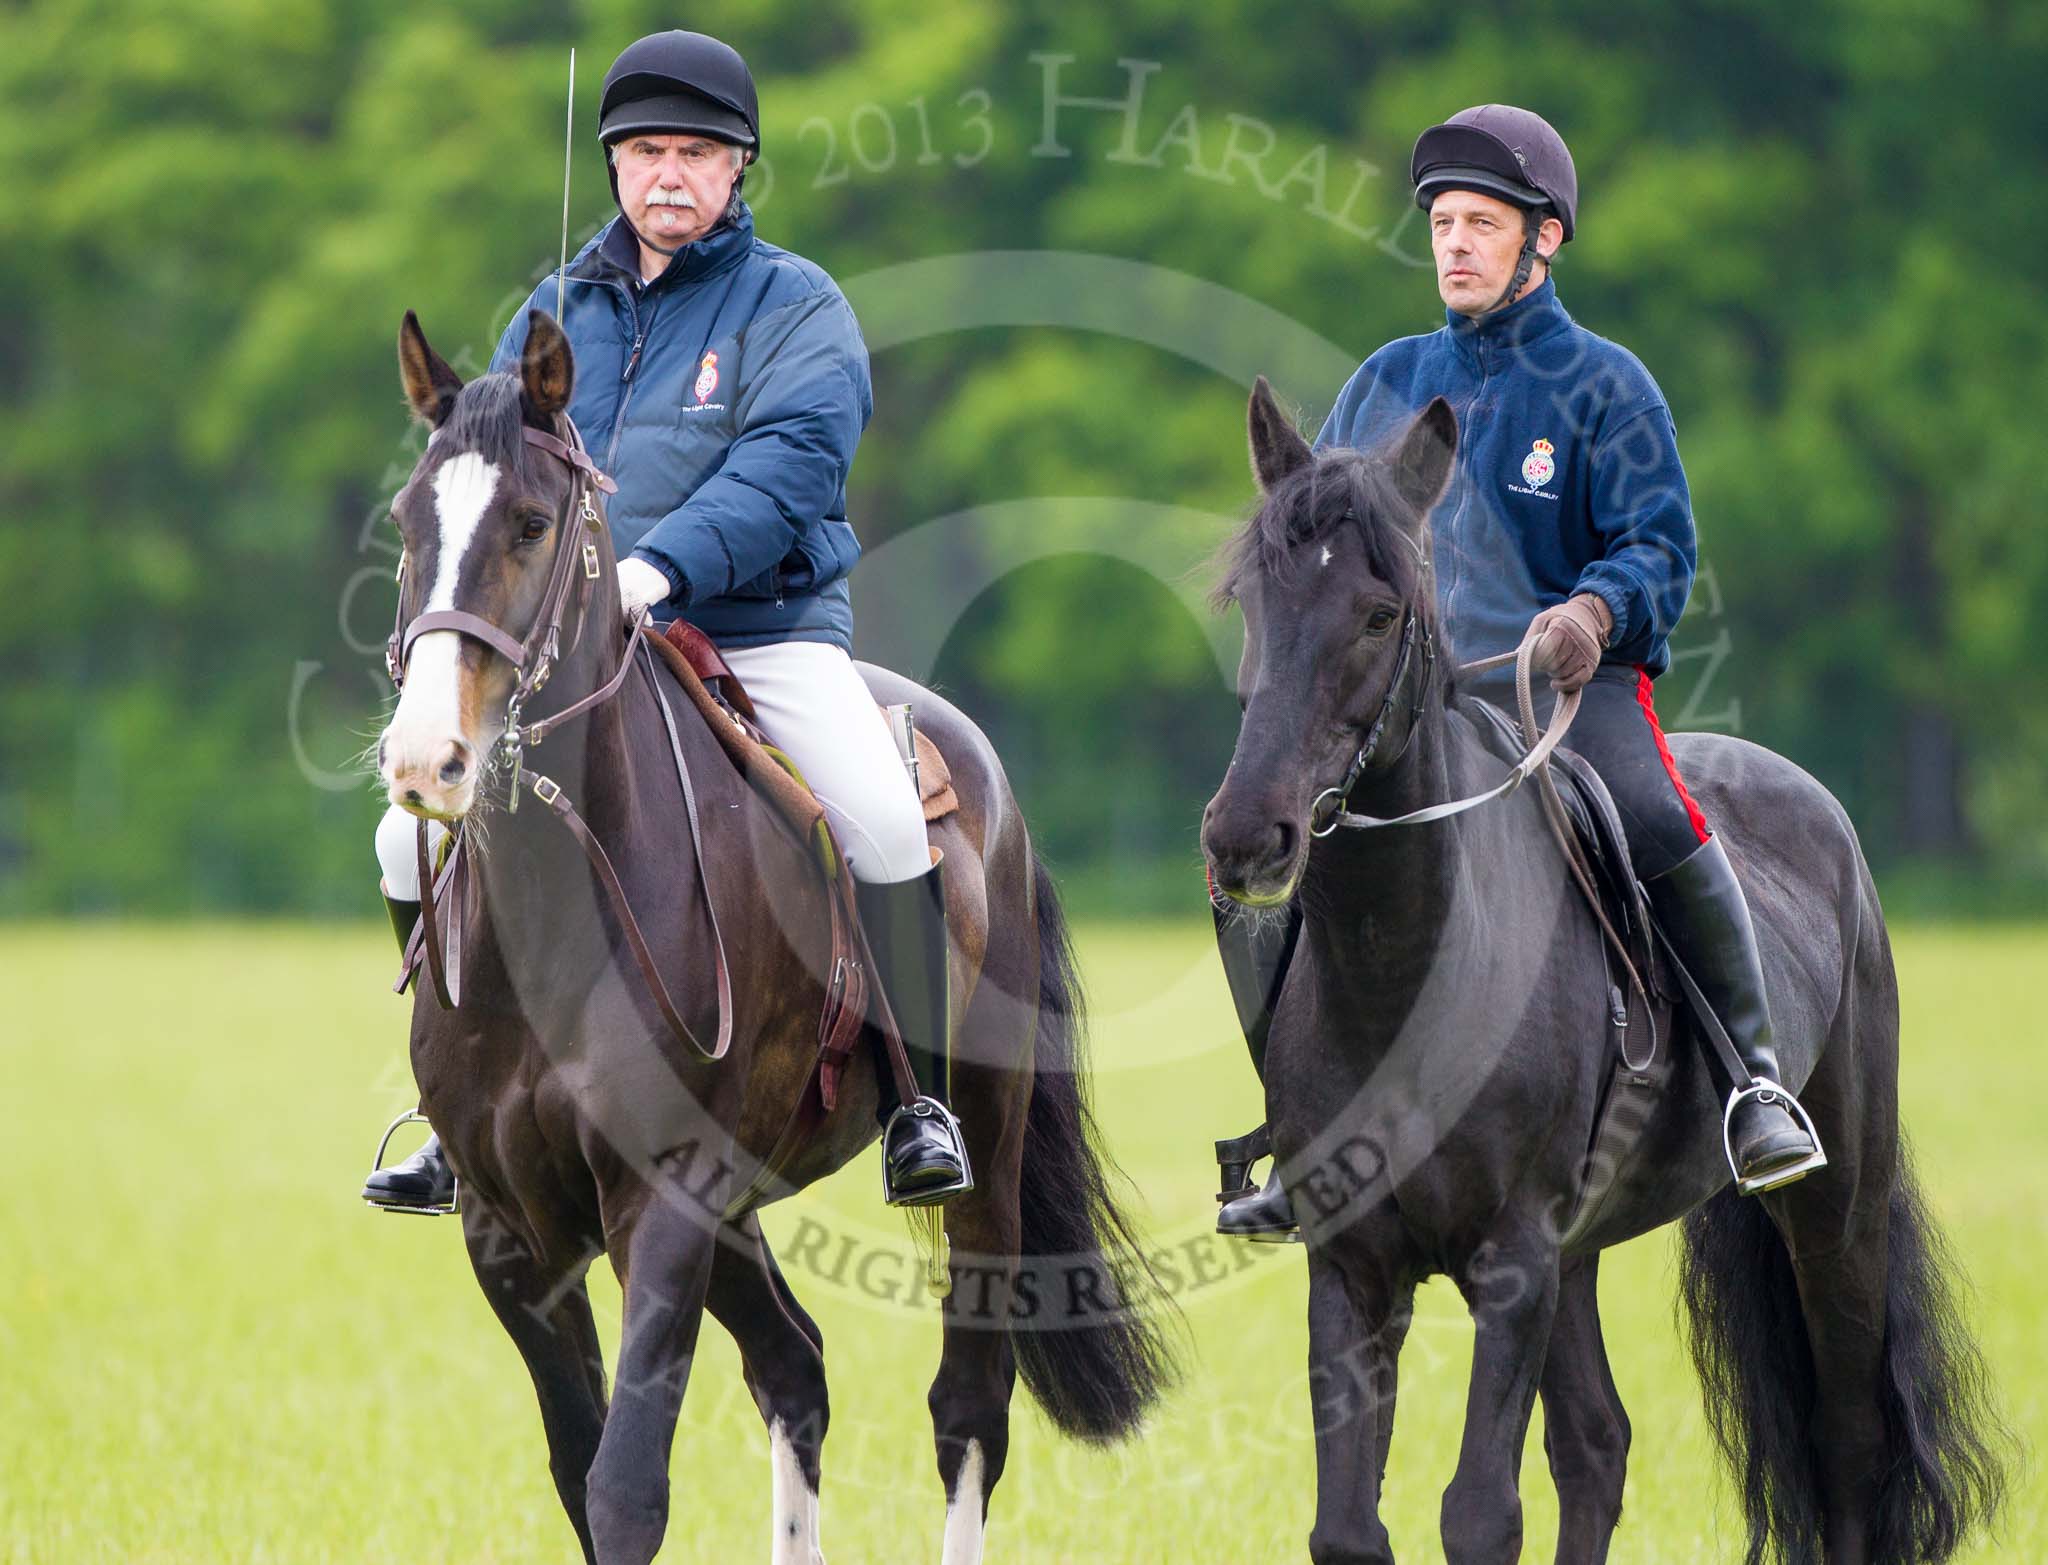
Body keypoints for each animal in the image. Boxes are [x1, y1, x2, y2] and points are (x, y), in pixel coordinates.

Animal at [1196, 383, 2007, 1565]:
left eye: (1378, 614)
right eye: (1251, 600)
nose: (1246, 837)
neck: (1409, 973)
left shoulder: (1513, 1259)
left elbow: (1479, 1514)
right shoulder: (1354, 1264)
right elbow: (1350, 1525)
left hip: (1834, 1209)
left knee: (1849, 1438)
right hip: (1579, 1256)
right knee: (1596, 1445)